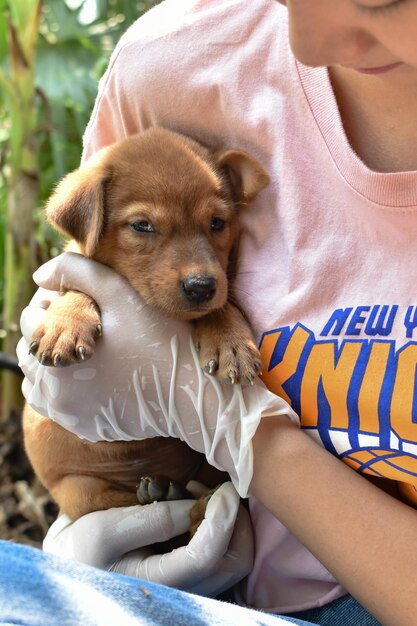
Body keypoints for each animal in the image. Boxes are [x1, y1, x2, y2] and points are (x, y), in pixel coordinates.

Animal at [23, 127, 270, 520]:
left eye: (217, 223)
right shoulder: (76, 266)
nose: (201, 286)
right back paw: (161, 495)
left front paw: (230, 342)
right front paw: (65, 324)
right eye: (142, 226)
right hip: (81, 493)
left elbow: (222, 306)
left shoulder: (217, 283)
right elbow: (77, 287)